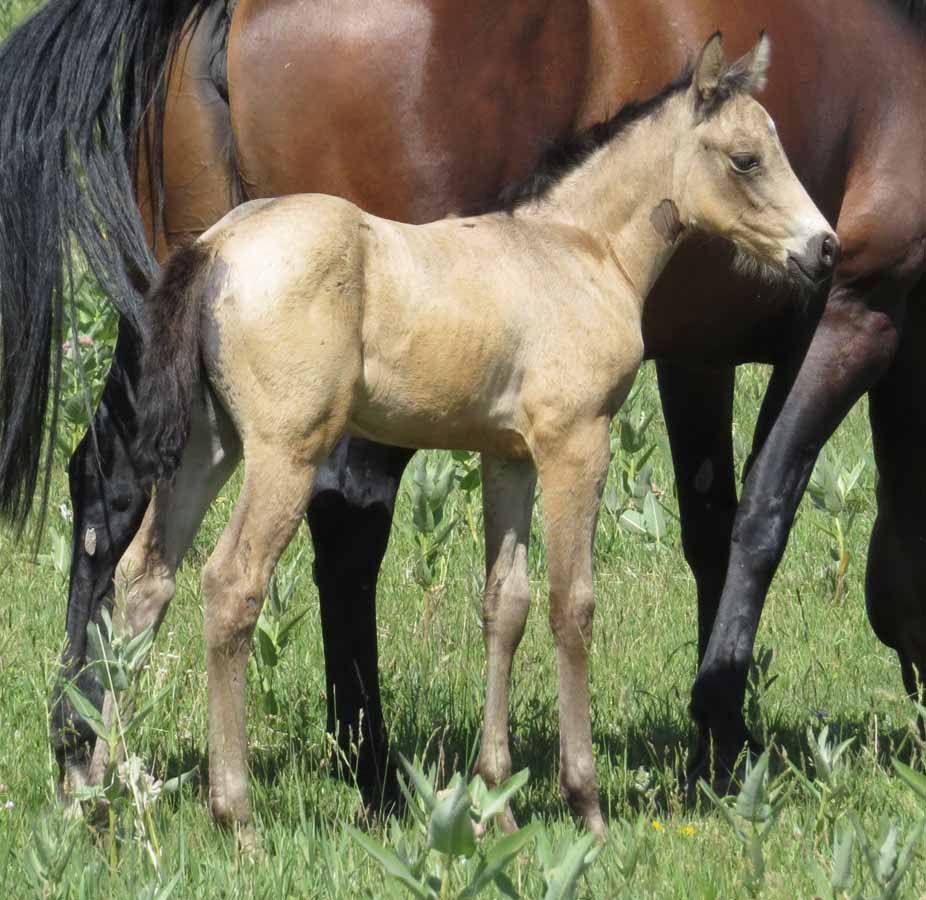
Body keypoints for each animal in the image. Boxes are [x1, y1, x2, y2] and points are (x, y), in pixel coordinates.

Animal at [0, 0, 922, 803]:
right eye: (745, 160)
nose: (822, 248)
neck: (572, 249)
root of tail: (222, 246)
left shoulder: (529, 443)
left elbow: (517, 600)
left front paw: (506, 789)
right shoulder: (591, 435)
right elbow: (602, 588)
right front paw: (638, 777)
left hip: (201, 424)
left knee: (133, 546)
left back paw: (101, 772)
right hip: (287, 449)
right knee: (249, 572)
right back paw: (292, 796)